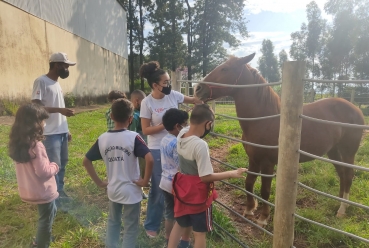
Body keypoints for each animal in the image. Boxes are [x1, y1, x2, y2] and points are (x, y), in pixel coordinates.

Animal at [194, 53, 364, 226]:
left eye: (225, 69)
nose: (198, 89)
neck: (263, 119)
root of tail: (355, 109)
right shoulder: (253, 159)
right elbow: (249, 182)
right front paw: (249, 209)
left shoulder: (267, 163)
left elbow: (265, 190)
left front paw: (263, 218)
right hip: (333, 151)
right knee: (342, 174)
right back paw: (339, 203)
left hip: (348, 152)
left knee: (348, 175)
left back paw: (342, 209)